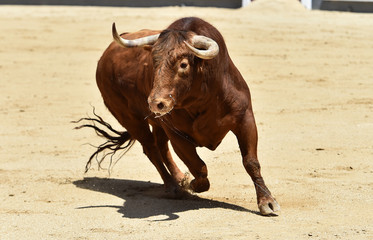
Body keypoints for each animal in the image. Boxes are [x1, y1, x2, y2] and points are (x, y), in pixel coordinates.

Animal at [77, 17, 278, 216]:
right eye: (154, 63)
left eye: (183, 64)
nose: (156, 103)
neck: (204, 97)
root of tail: (105, 56)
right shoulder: (177, 135)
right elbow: (199, 167)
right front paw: (192, 184)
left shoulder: (245, 119)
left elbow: (251, 161)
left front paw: (267, 202)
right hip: (129, 118)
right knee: (151, 149)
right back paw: (174, 186)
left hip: (156, 123)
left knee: (160, 146)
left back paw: (179, 178)